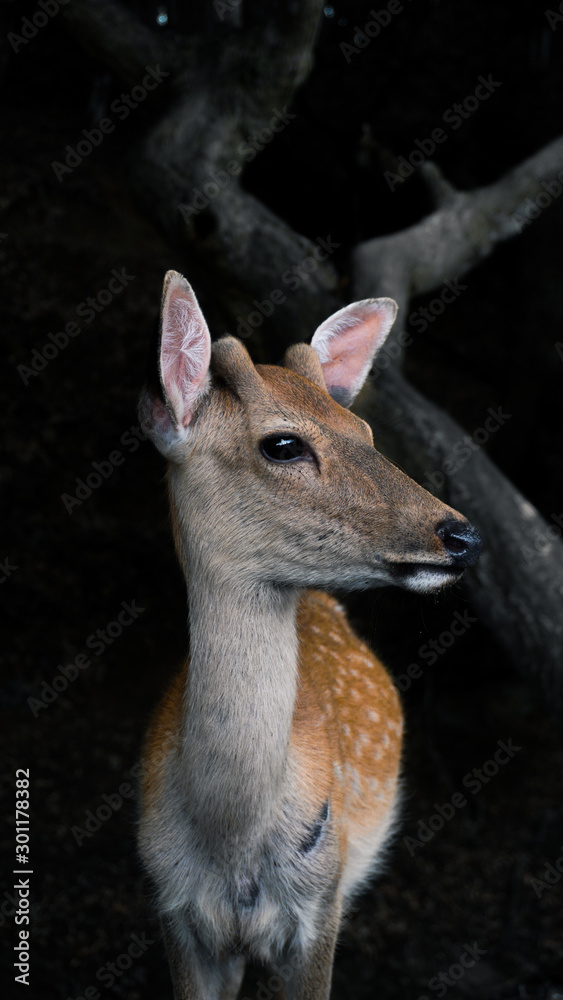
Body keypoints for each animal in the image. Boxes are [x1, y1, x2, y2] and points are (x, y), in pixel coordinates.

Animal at [137, 270, 482, 1000]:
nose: (462, 534)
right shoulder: (175, 914)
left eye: (366, 430)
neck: (231, 841)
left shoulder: (319, 906)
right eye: (282, 444)